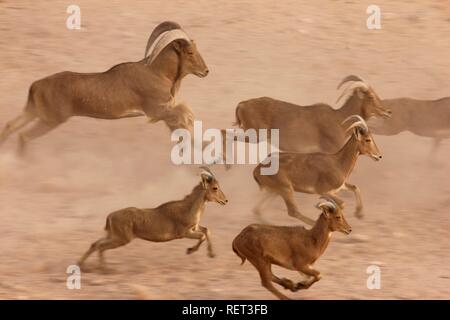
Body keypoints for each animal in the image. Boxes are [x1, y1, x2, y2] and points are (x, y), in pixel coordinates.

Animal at [0, 21, 209, 154]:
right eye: (190, 52)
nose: (206, 71)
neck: (158, 73)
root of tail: (35, 86)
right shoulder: (156, 111)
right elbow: (185, 113)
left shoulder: (165, 113)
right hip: (50, 120)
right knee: (24, 136)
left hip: (34, 112)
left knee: (11, 126)